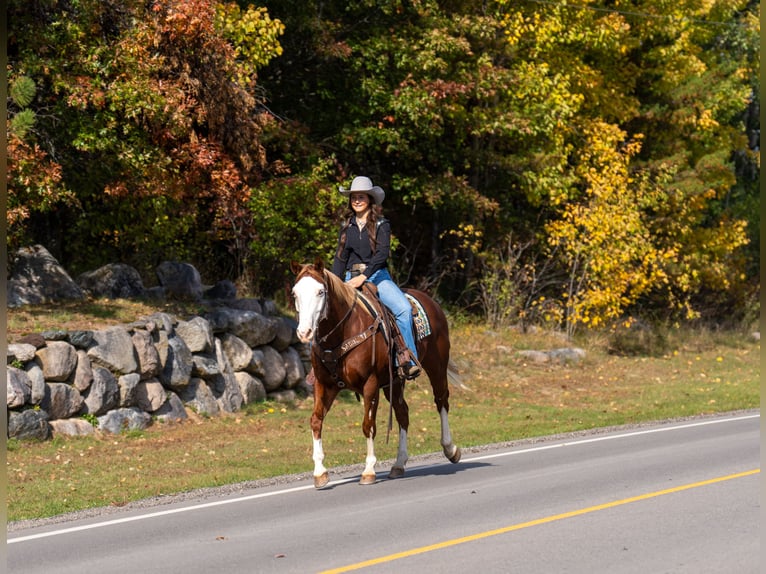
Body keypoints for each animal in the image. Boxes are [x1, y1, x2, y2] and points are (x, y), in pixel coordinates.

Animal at [290, 258, 462, 488]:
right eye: (295, 293)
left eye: (320, 291)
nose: (305, 332)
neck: (343, 331)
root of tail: (432, 302)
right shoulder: (324, 384)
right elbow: (316, 421)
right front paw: (319, 473)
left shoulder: (369, 384)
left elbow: (368, 425)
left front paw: (369, 470)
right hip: (394, 382)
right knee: (402, 412)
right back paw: (398, 464)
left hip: (436, 365)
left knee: (441, 400)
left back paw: (450, 449)